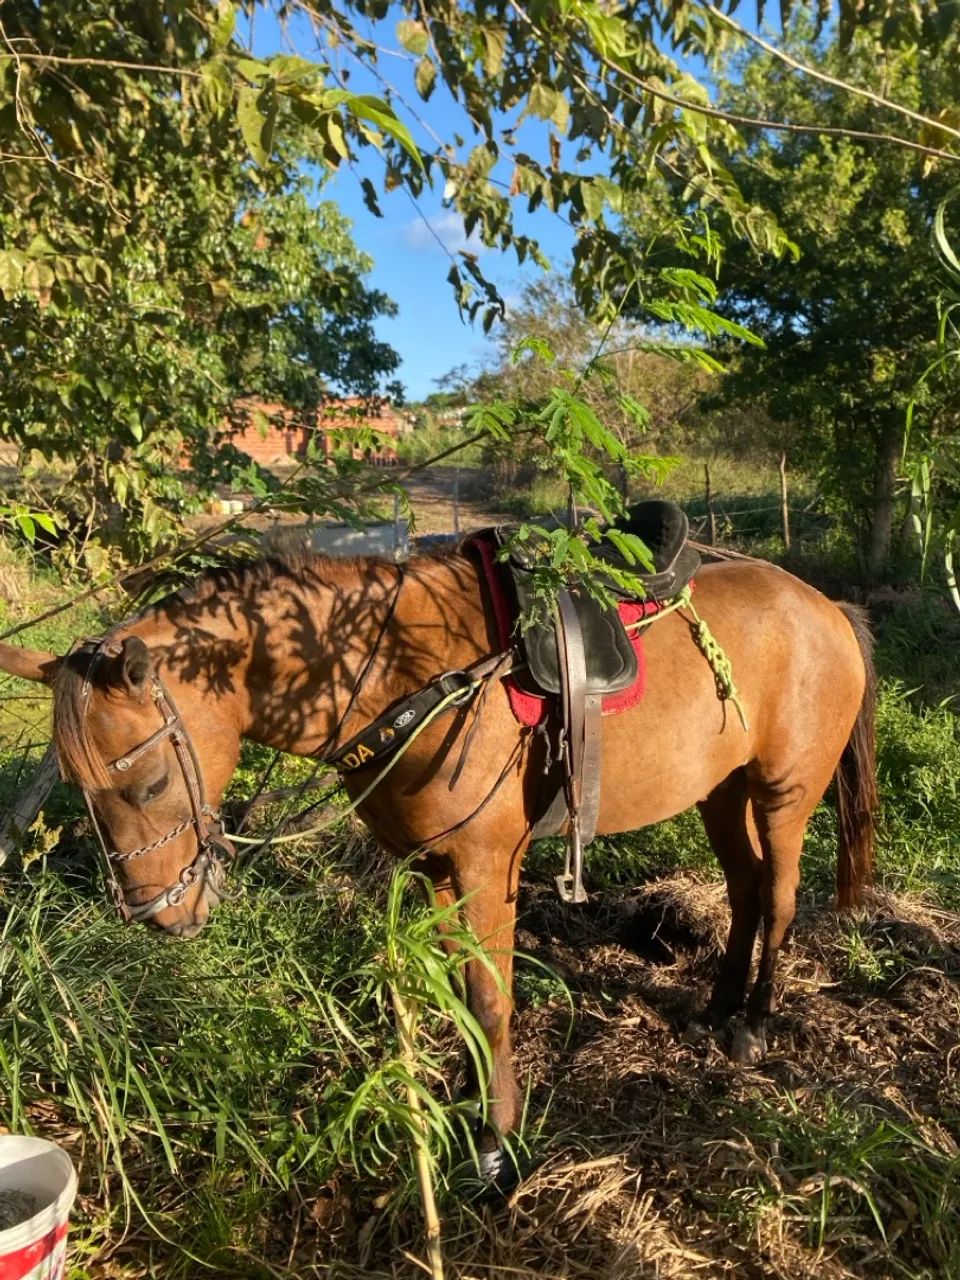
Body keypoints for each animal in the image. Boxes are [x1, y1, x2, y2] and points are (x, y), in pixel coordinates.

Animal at [0, 542, 876, 1185]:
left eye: (148, 782)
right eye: (73, 784)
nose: (161, 915)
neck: (407, 676)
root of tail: (826, 608)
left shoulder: (487, 870)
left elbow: (490, 1000)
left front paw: (496, 1141)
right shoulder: (439, 871)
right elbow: (460, 992)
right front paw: (467, 1100)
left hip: (783, 795)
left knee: (780, 896)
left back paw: (753, 1024)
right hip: (719, 790)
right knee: (744, 888)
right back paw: (716, 1006)